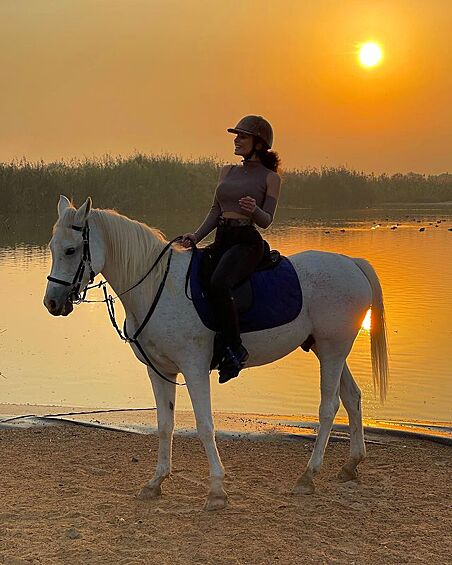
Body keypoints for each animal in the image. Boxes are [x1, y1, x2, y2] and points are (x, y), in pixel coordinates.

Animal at [43, 197, 388, 512]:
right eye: (52, 248)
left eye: (71, 250)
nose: (52, 302)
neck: (158, 288)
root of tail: (351, 263)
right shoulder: (160, 371)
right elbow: (164, 425)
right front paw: (155, 483)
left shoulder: (193, 369)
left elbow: (205, 425)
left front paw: (217, 491)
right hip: (327, 349)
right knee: (352, 397)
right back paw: (351, 465)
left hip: (332, 350)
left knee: (329, 407)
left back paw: (308, 476)